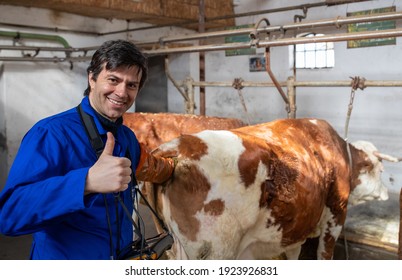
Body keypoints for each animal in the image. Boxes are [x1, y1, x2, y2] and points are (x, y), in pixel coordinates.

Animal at [148, 117, 396, 260]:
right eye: (380, 170)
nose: (386, 193)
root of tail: (177, 147)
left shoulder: (295, 230)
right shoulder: (335, 215)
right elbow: (325, 254)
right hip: (215, 250)